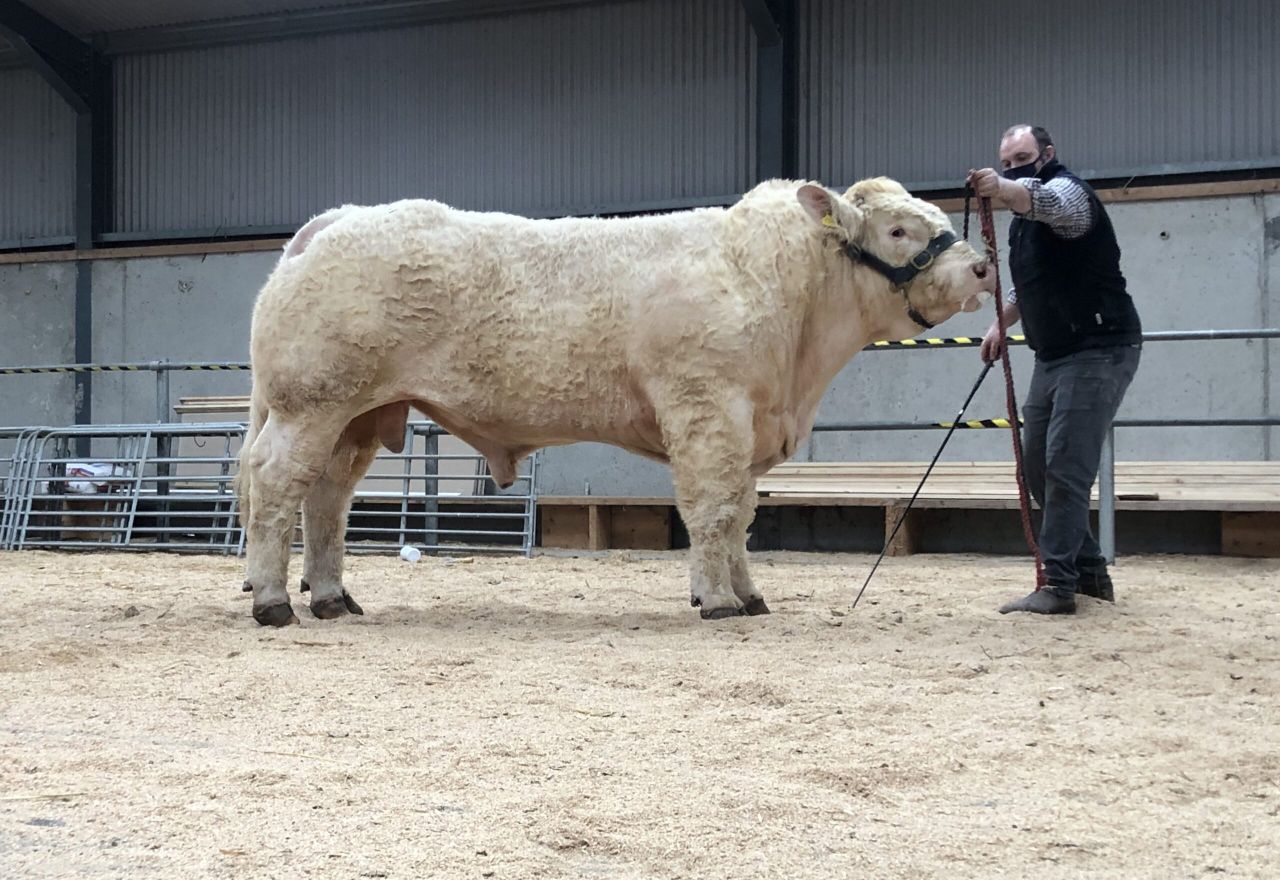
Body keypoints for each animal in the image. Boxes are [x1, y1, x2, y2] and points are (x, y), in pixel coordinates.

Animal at [237, 177, 996, 626]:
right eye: (898, 230)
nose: (983, 267)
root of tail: (336, 221)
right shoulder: (707, 409)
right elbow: (714, 510)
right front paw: (718, 601)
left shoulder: (747, 423)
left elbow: (742, 515)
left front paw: (749, 594)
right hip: (311, 403)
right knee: (276, 487)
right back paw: (274, 601)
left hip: (356, 417)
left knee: (326, 500)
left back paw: (332, 597)